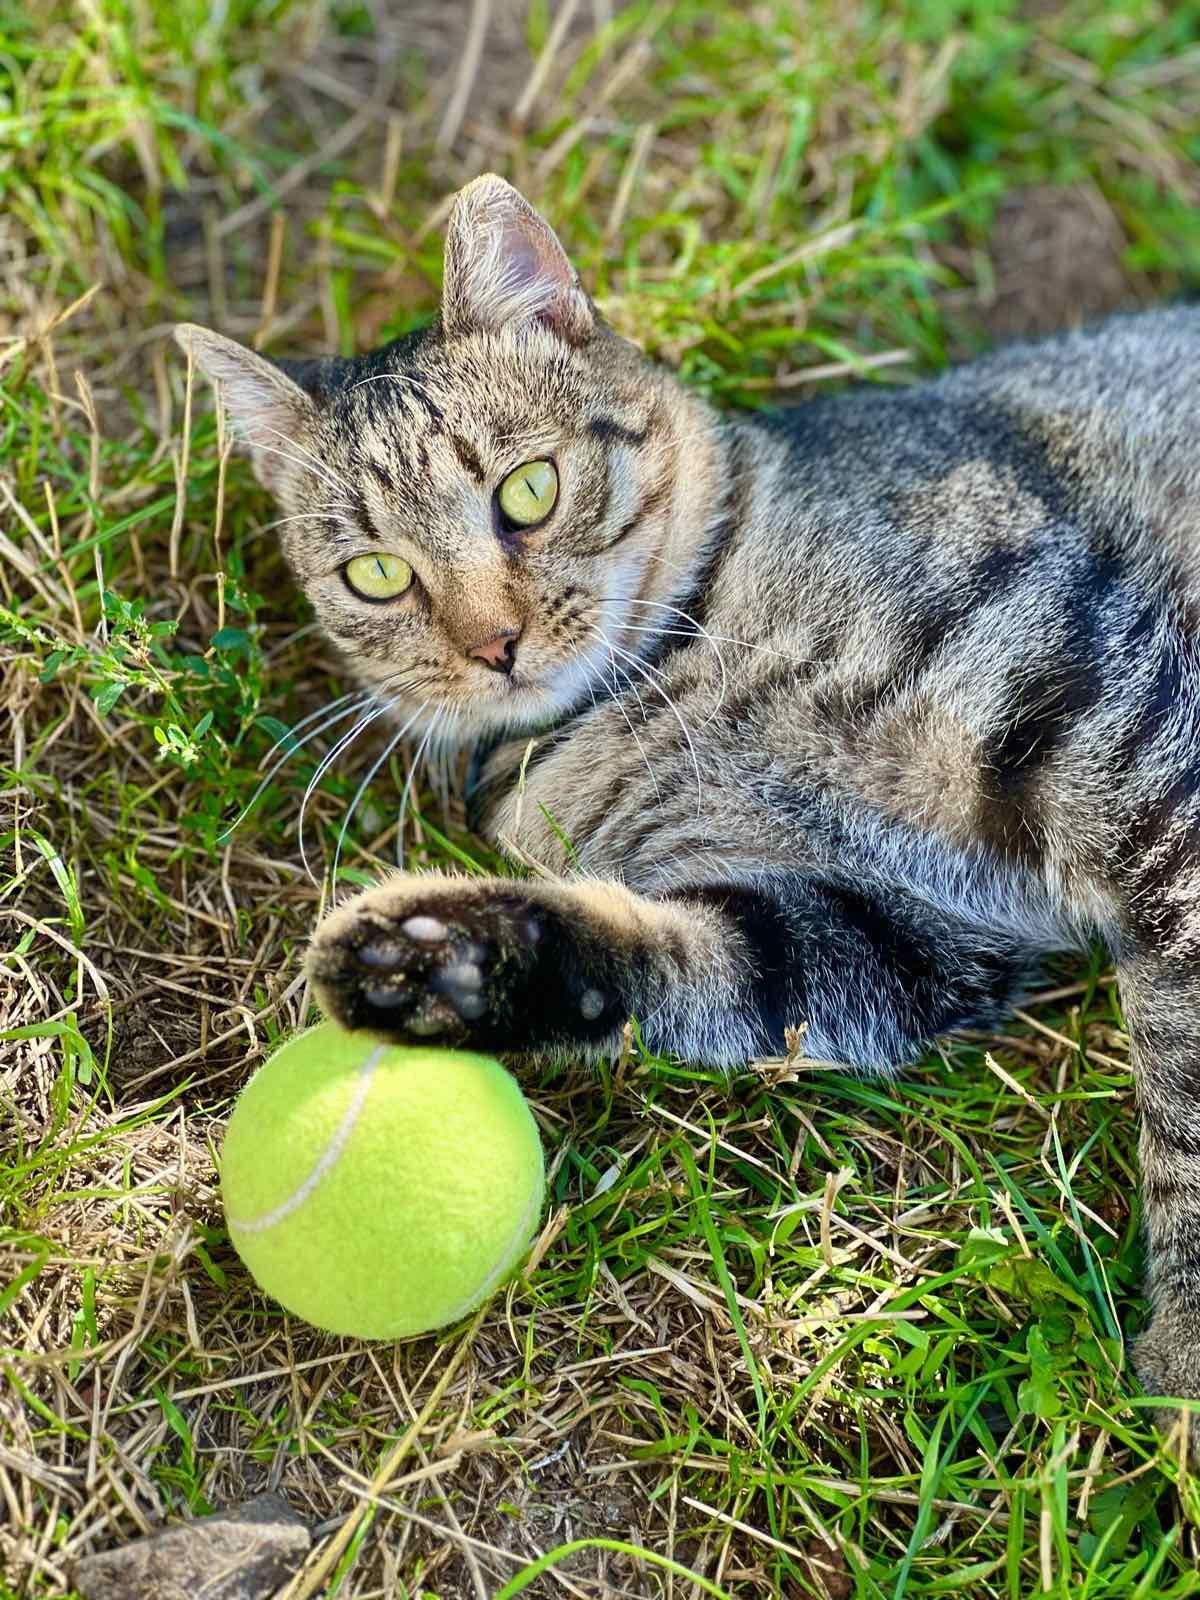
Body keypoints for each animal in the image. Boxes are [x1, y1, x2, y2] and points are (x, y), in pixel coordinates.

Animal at [178, 172, 1200, 1440]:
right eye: (376, 576)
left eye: (528, 491)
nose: (493, 643)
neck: (671, 683)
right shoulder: (902, 937)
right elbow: (687, 966)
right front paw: (443, 958)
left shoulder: (1112, 732)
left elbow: (1186, 1063)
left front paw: (1190, 1348)